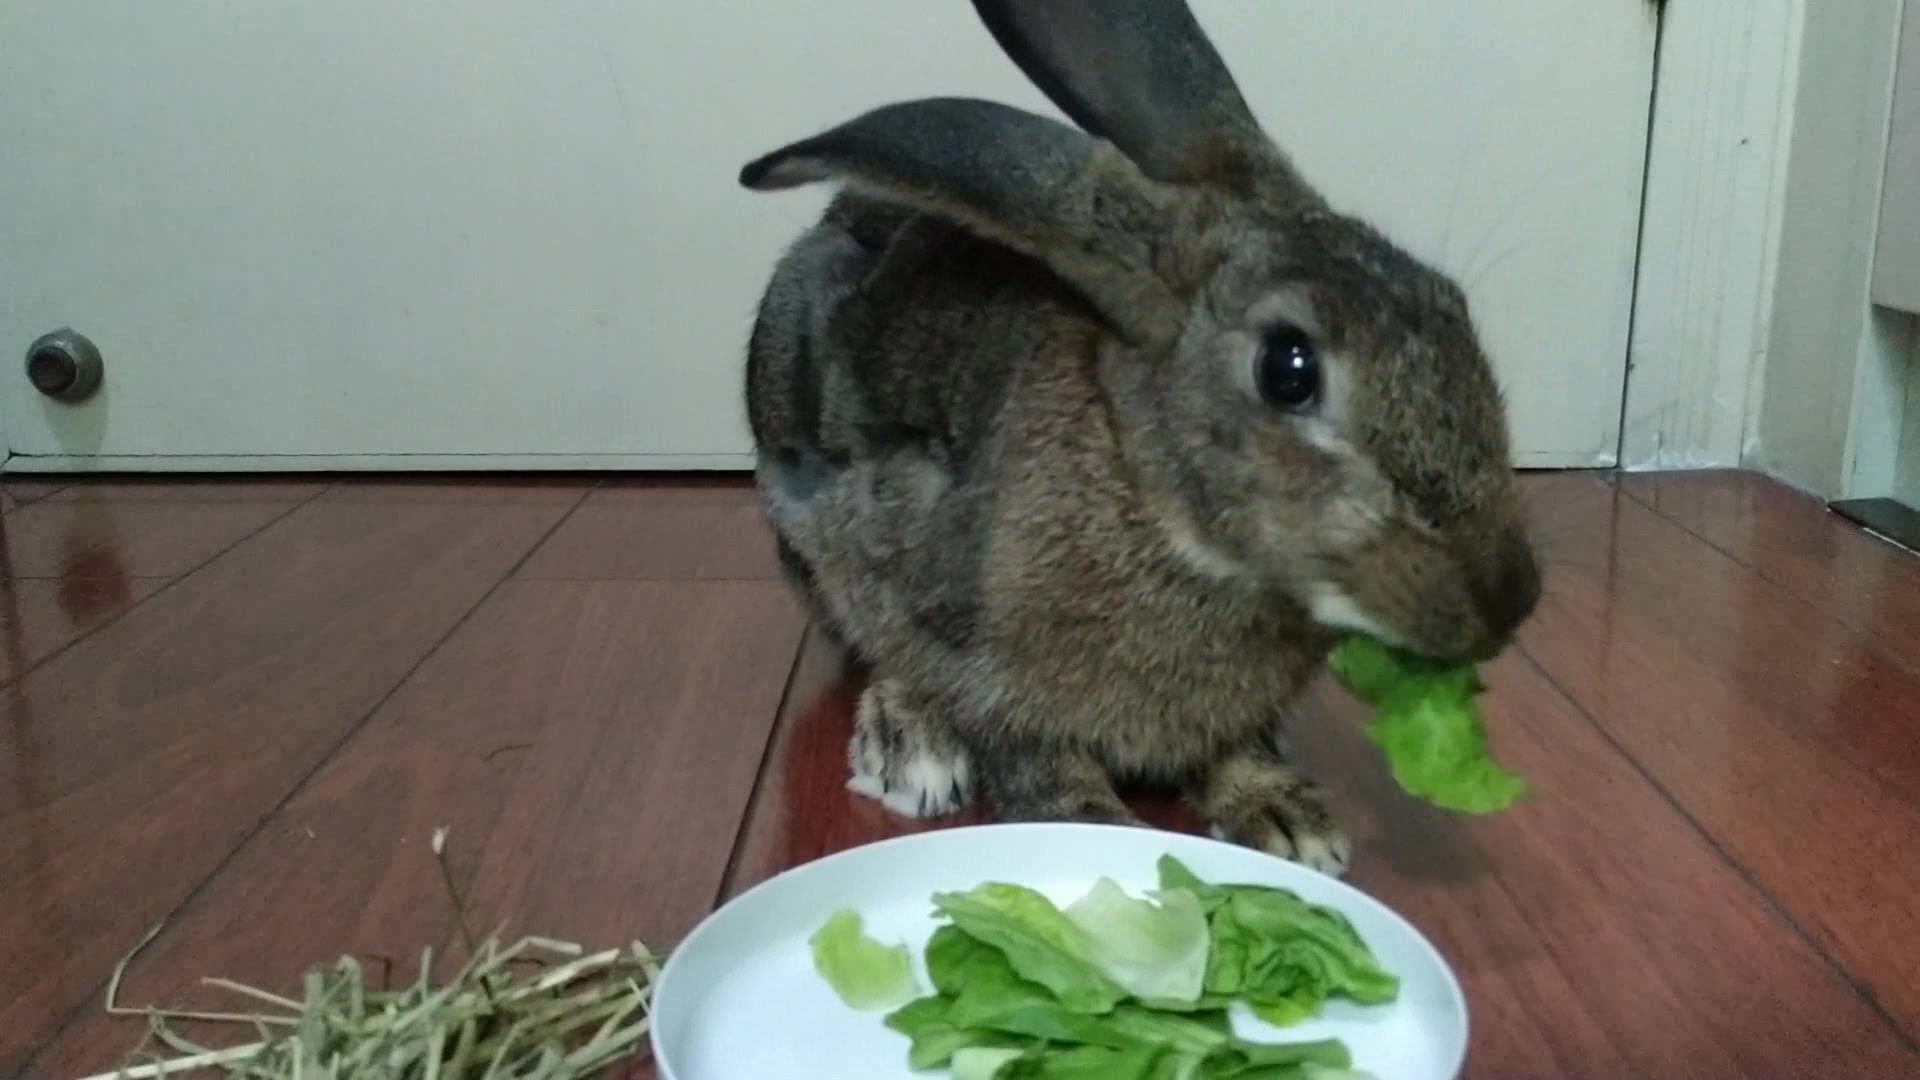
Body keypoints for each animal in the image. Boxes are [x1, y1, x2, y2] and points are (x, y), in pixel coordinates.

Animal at [733, 0, 1543, 876]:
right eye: (1288, 369)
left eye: (1451, 302)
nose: (1510, 602)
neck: (1151, 493)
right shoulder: (983, 658)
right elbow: (1028, 751)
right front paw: (1092, 826)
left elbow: (1235, 749)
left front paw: (1287, 819)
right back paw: (907, 744)